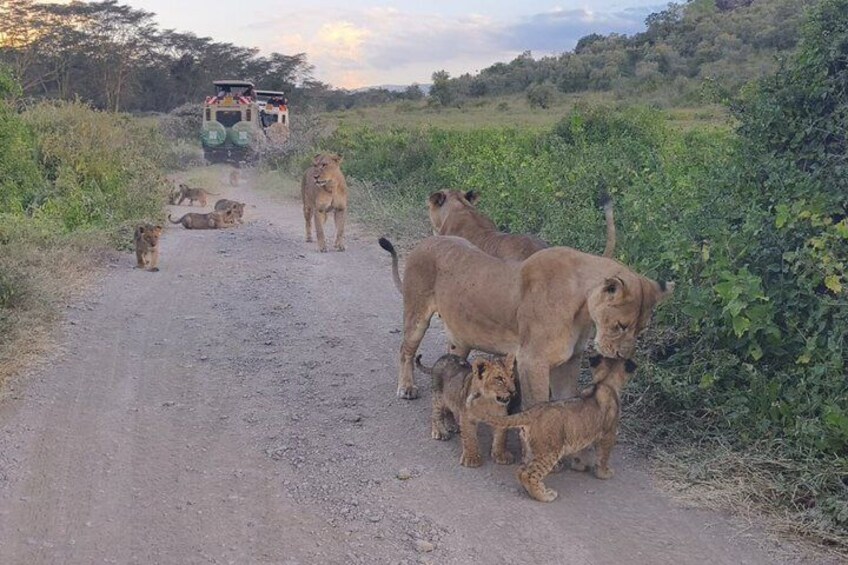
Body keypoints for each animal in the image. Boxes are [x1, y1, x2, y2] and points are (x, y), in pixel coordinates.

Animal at [378, 236, 672, 407]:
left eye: (641, 330)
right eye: (620, 326)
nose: (623, 356)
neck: (582, 309)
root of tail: (426, 242)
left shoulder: (569, 360)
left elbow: (567, 397)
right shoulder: (532, 359)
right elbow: (537, 404)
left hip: (460, 336)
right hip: (416, 314)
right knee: (405, 350)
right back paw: (406, 388)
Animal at [477, 355, 637, 502]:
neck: (603, 382)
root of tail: (532, 411)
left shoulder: (582, 432)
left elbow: (582, 450)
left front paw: (579, 466)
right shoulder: (608, 434)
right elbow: (603, 456)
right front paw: (604, 473)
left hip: (532, 449)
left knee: (521, 470)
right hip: (549, 451)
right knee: (529, 474)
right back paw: (544, 496)